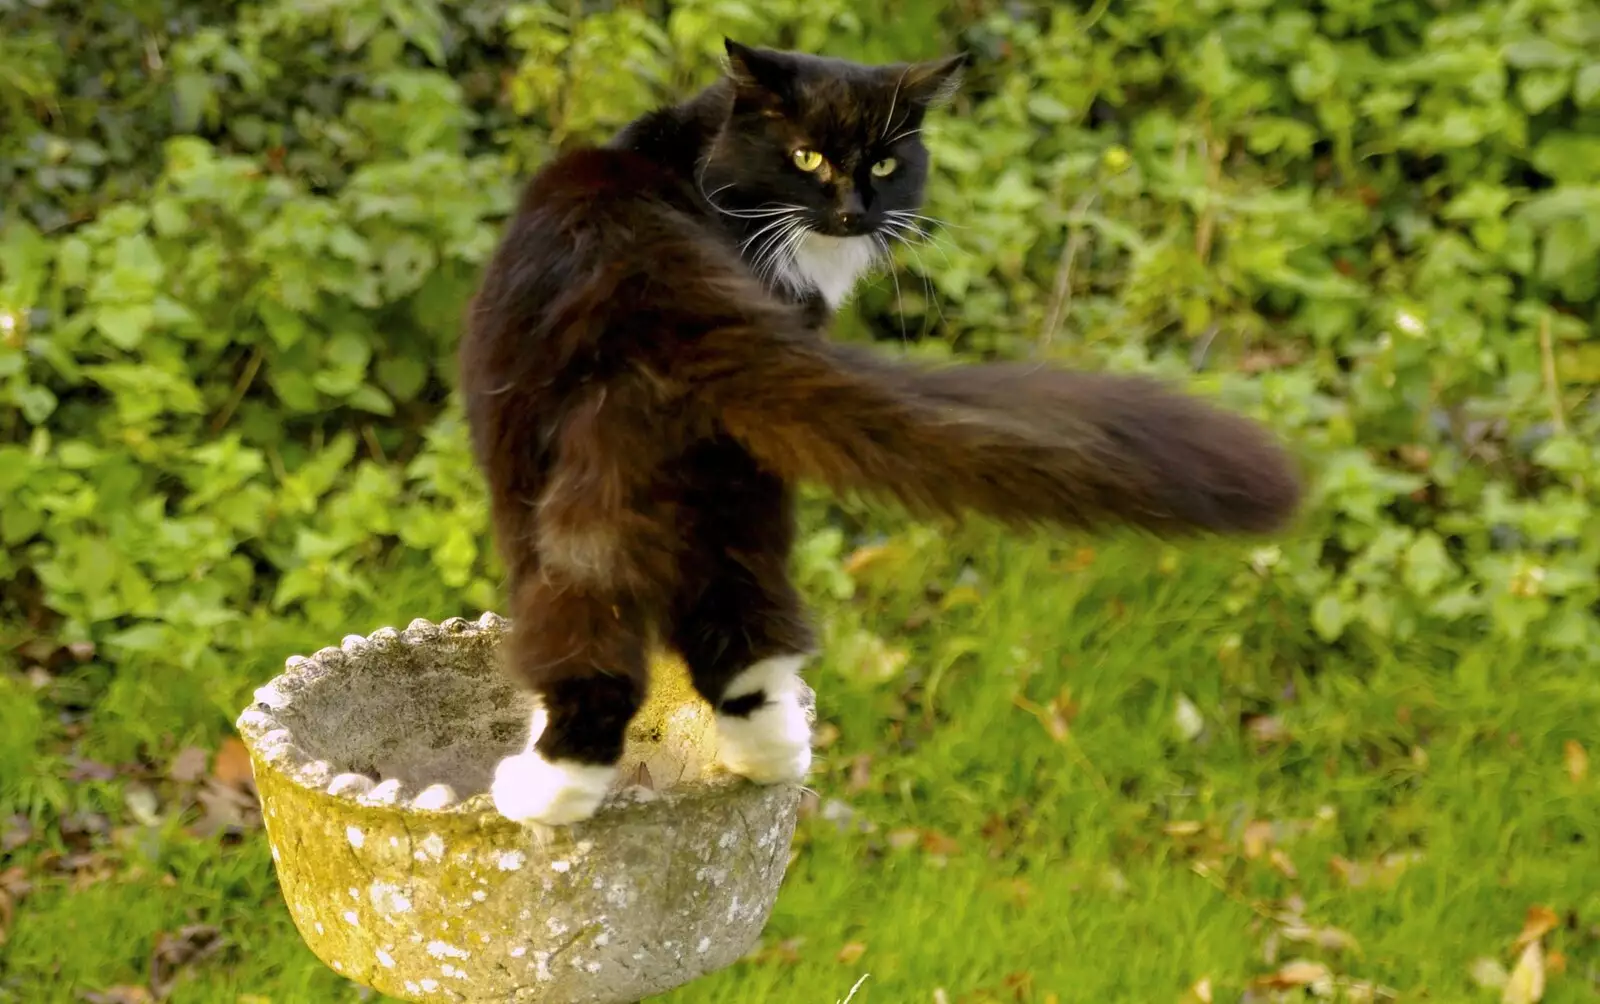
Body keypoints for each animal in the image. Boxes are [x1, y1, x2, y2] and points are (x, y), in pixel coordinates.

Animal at [457, 37, 1305, 824]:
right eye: (806, 156)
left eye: (887, 163)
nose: (853, 209)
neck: (700, 163)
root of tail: (659, 283)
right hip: (728, 479)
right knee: (742, 622)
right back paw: (771, 757)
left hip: (580, 483)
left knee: (593, 640)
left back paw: (543, 796)